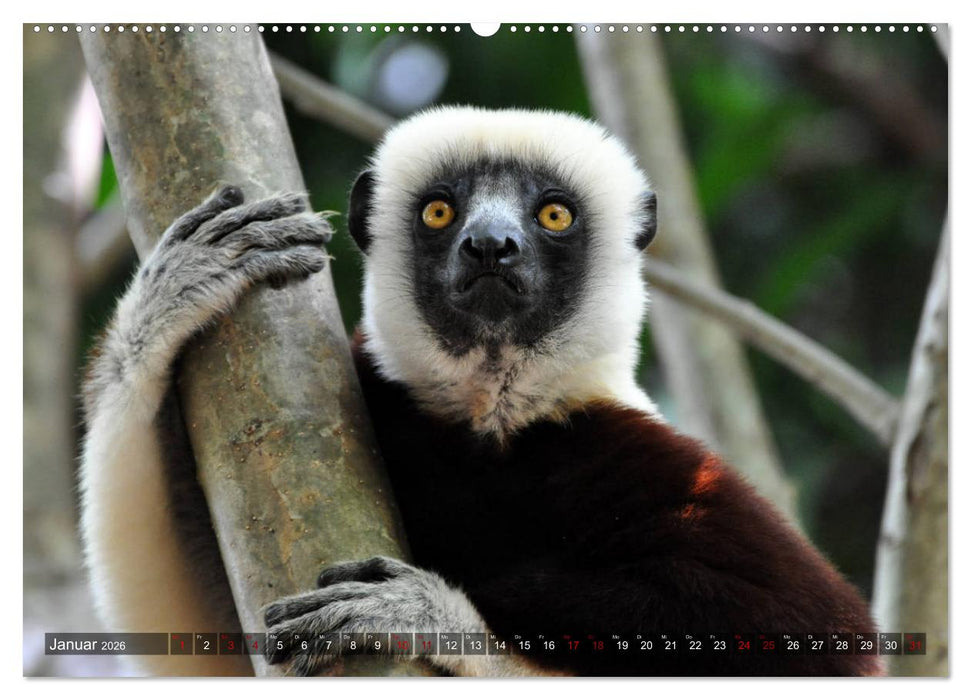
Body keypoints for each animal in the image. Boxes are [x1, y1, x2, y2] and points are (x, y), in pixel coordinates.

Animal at [80, 106, 882, 677]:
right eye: (440, 211)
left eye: (553, 214)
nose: (490, 246)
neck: (491, 415)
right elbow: (186, 620)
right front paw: (178, 290)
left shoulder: (661, 463)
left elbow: (815, 639)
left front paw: (429, 616)